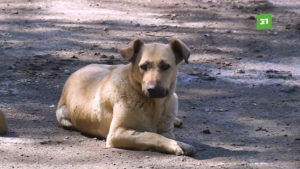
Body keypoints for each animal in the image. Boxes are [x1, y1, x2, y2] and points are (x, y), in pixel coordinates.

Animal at [56, 39, 196, 155]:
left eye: (165, 66)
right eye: (143, 66)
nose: (153, 89)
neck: (152, 105)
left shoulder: (167, 131)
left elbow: (163, 135)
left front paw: (180, 143)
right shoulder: (117, 133)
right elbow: (151, 135)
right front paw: (175, 145)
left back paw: (176, 120)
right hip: (62, 114)